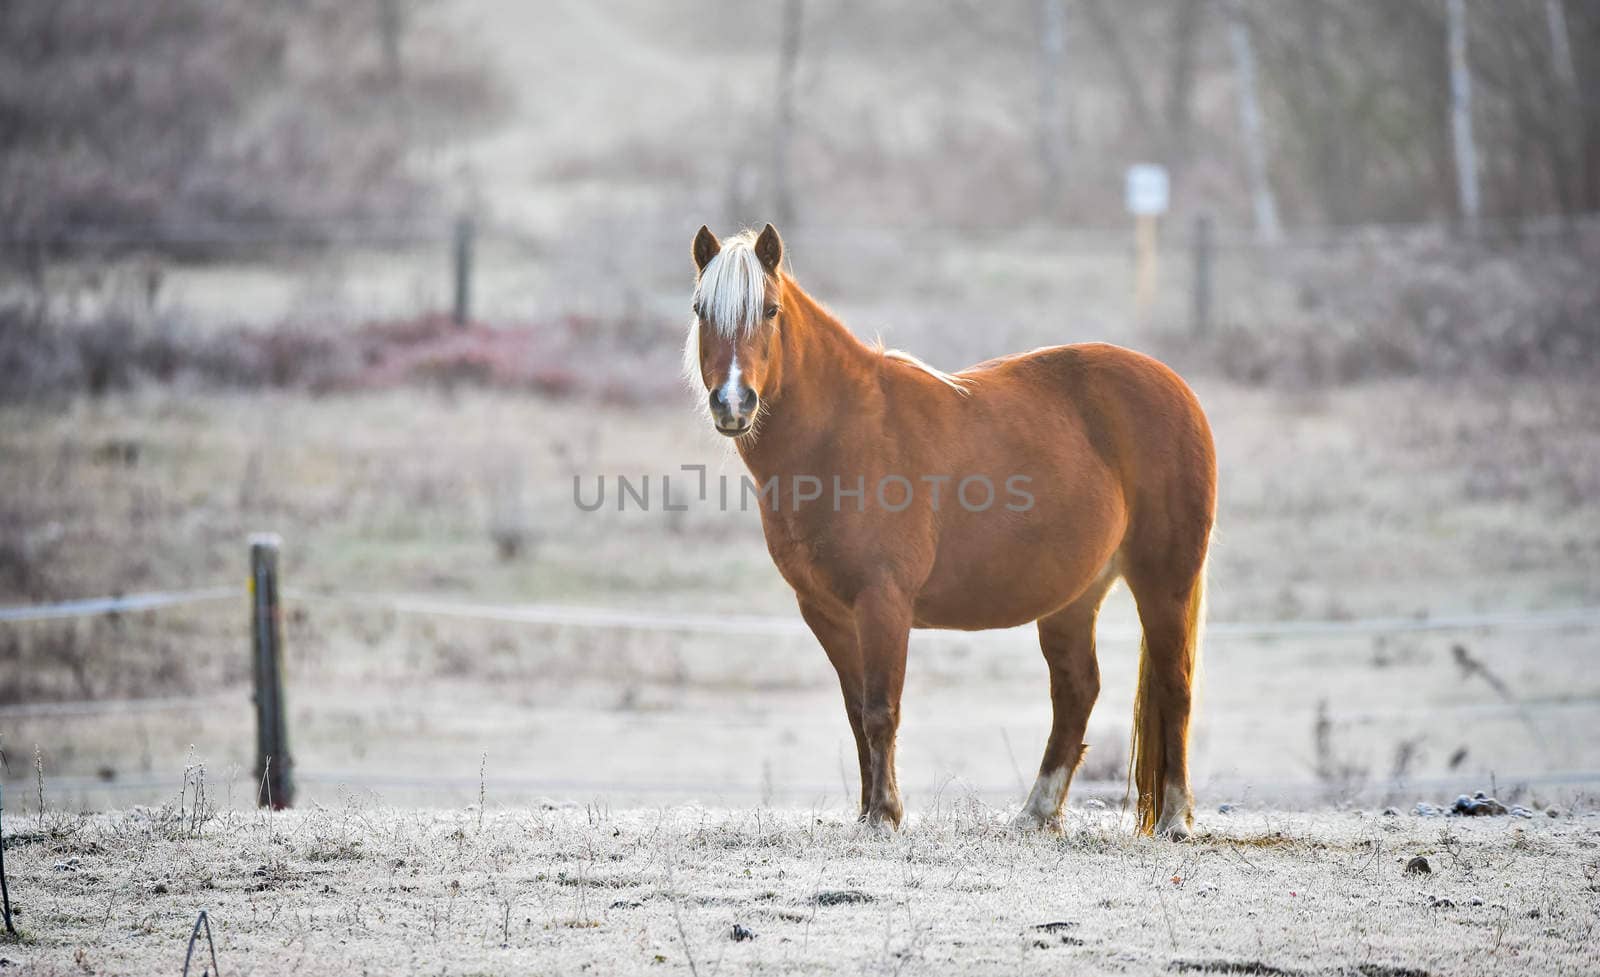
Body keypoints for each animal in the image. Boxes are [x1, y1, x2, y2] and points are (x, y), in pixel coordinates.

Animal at [684, 223, 1209, 837]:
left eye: (769, 310)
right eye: (700, 310)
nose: (733, 402)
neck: (841, 433)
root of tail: (1175, 387)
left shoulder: (884, 602)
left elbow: (882, 710)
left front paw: (885, 815)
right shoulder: (825, 612)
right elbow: (856, 711)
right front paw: (866, 812)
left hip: (1164, 582)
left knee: (1175, 686)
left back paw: (1174, 817)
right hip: (1074, 598)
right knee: (1077, 690)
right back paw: (1037, 813)